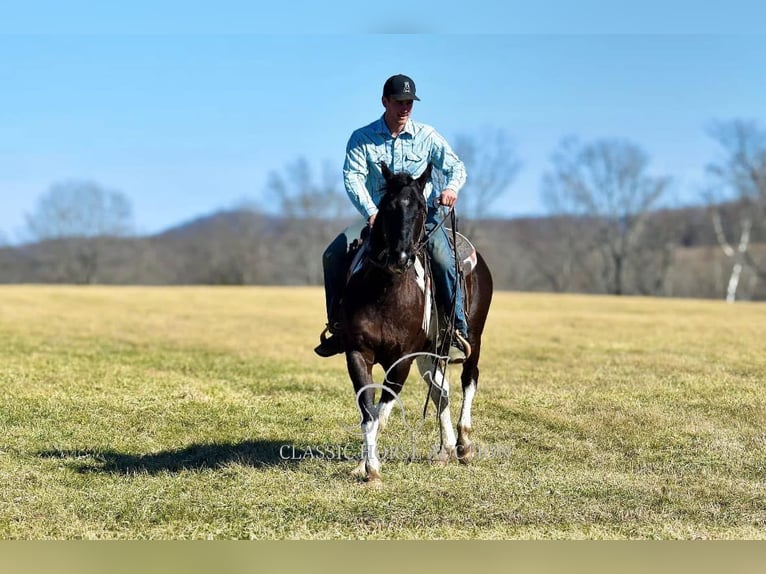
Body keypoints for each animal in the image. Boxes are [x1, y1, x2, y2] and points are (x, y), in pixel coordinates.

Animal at [344, 162, 496, 486]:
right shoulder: (358, 354)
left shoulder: (402, 360)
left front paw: (371, 468)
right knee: (441, 392)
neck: (385, 291)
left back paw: (464, 444)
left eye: (422, 209)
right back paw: (445, 450)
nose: (401, 257)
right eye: (387, 206)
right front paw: (365, 467)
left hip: (473, 339)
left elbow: (382, 411)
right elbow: (368, 413)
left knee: (469, 380)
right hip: (431, 353)